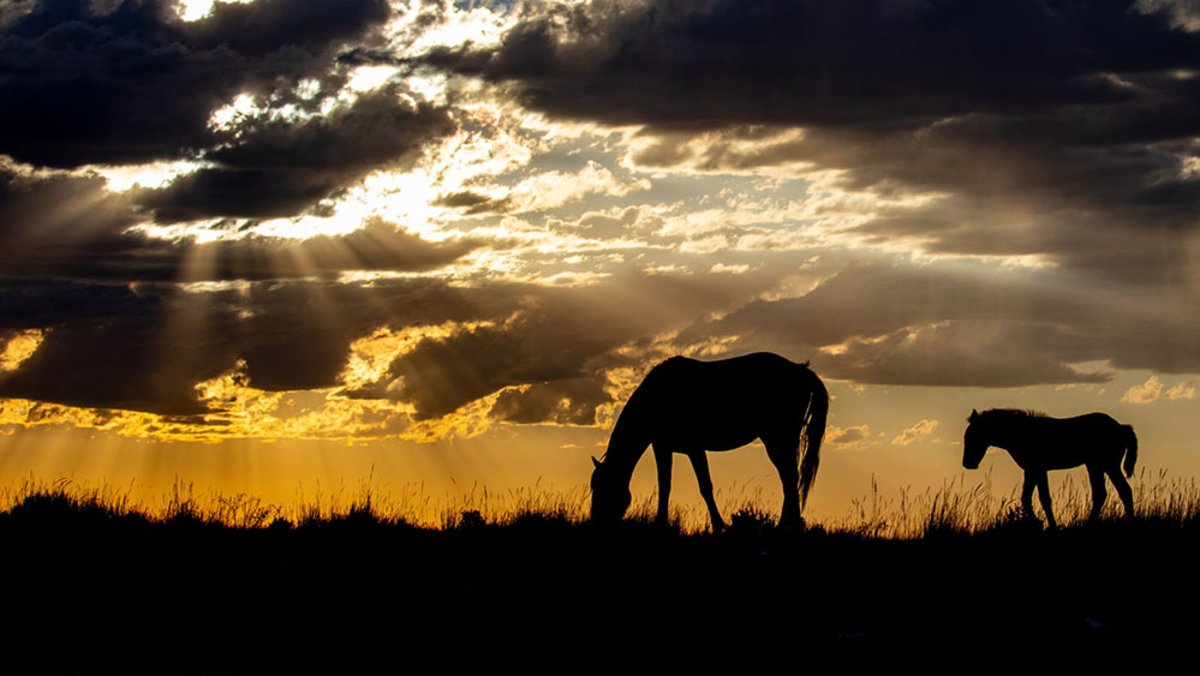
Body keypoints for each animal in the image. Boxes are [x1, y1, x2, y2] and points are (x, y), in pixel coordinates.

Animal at [590, 352, 828, 532]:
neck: (658, 397)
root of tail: (800, 369)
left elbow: (705, 486)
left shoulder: (695, 448)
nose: (595, 523)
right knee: (789, 479)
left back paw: (786, 525)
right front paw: (660, 523)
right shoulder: (662, 447)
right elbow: (665, 485)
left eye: (604, 488)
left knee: (789, 477)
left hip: (778, 439)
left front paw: (719, 525)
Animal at [962, 408, 1138, 528]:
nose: (967, 464)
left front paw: (1043, 524)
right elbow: (1033, 498)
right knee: (1108, 493)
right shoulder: (1034, 470)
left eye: (973, 436)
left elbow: (1038, 498)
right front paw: (1044, 524)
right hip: (1097, 466)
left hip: (1107, 465)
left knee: (1119, 491)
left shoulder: (1035, 469)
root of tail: (1121, 427)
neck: (1021, 433)